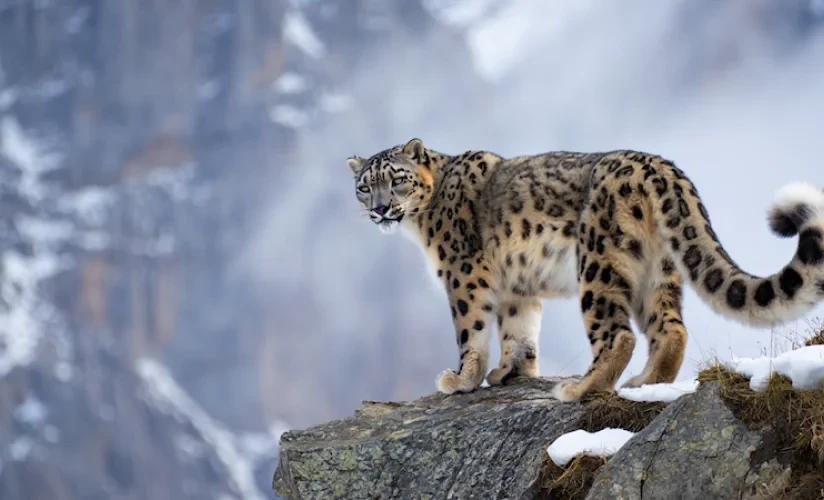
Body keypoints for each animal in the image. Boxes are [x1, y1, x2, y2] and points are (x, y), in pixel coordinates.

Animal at [346, 138, 824, 401]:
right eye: (364, 187)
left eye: (398, 179)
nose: (380, 209)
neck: (420, 228)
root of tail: (659, 166)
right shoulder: (516, 287)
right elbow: (519, 329)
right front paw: (511, 372)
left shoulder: (463, 274)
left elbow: (471, 330)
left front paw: (462, 379)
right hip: (658, 268)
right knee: (670, 328)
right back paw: (646, 383)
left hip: (597, 264)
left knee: (618, 334)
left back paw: (579, 388)